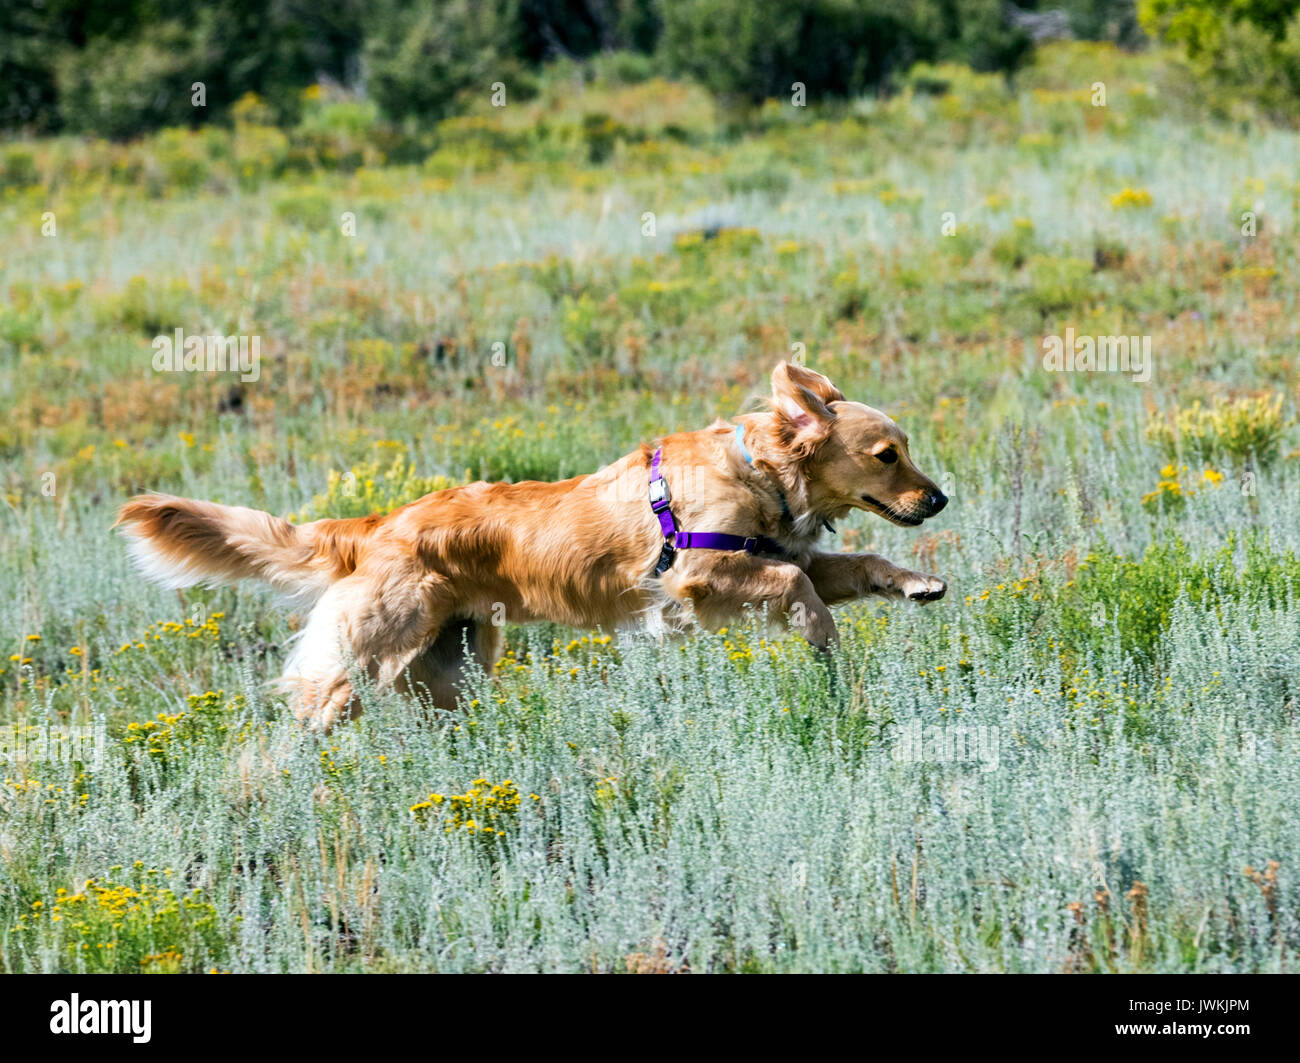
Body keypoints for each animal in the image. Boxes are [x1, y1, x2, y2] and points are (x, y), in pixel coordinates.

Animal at [119, 361, 946, 722]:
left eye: (905, 448)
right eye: (886, 455)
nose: (939, 497)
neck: (762, 469)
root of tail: (380, 523)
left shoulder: (788, 554)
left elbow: (855, 562)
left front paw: (916, 583)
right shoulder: (699, 580)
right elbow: (800, 591)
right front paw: (825, 648)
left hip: (449, 664)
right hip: (364, 664)